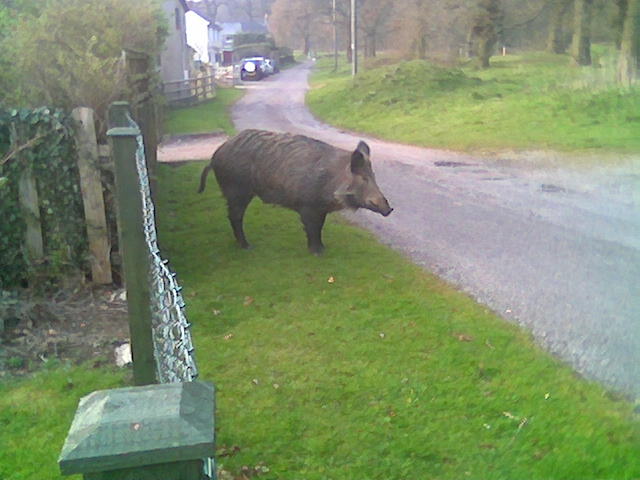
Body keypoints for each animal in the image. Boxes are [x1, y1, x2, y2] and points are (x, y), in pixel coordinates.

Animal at [198, 129, 392, 254]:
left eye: (374, 176)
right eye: (364, 179)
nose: (389, 209)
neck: (331, 183)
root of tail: (215, 156)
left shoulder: (320, 208)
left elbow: (320, 227)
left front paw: (322, 248)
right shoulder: (307, 206)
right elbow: (312, 228)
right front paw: (317, 252)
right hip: (236, 190)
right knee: (235, 216)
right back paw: (247, 247)